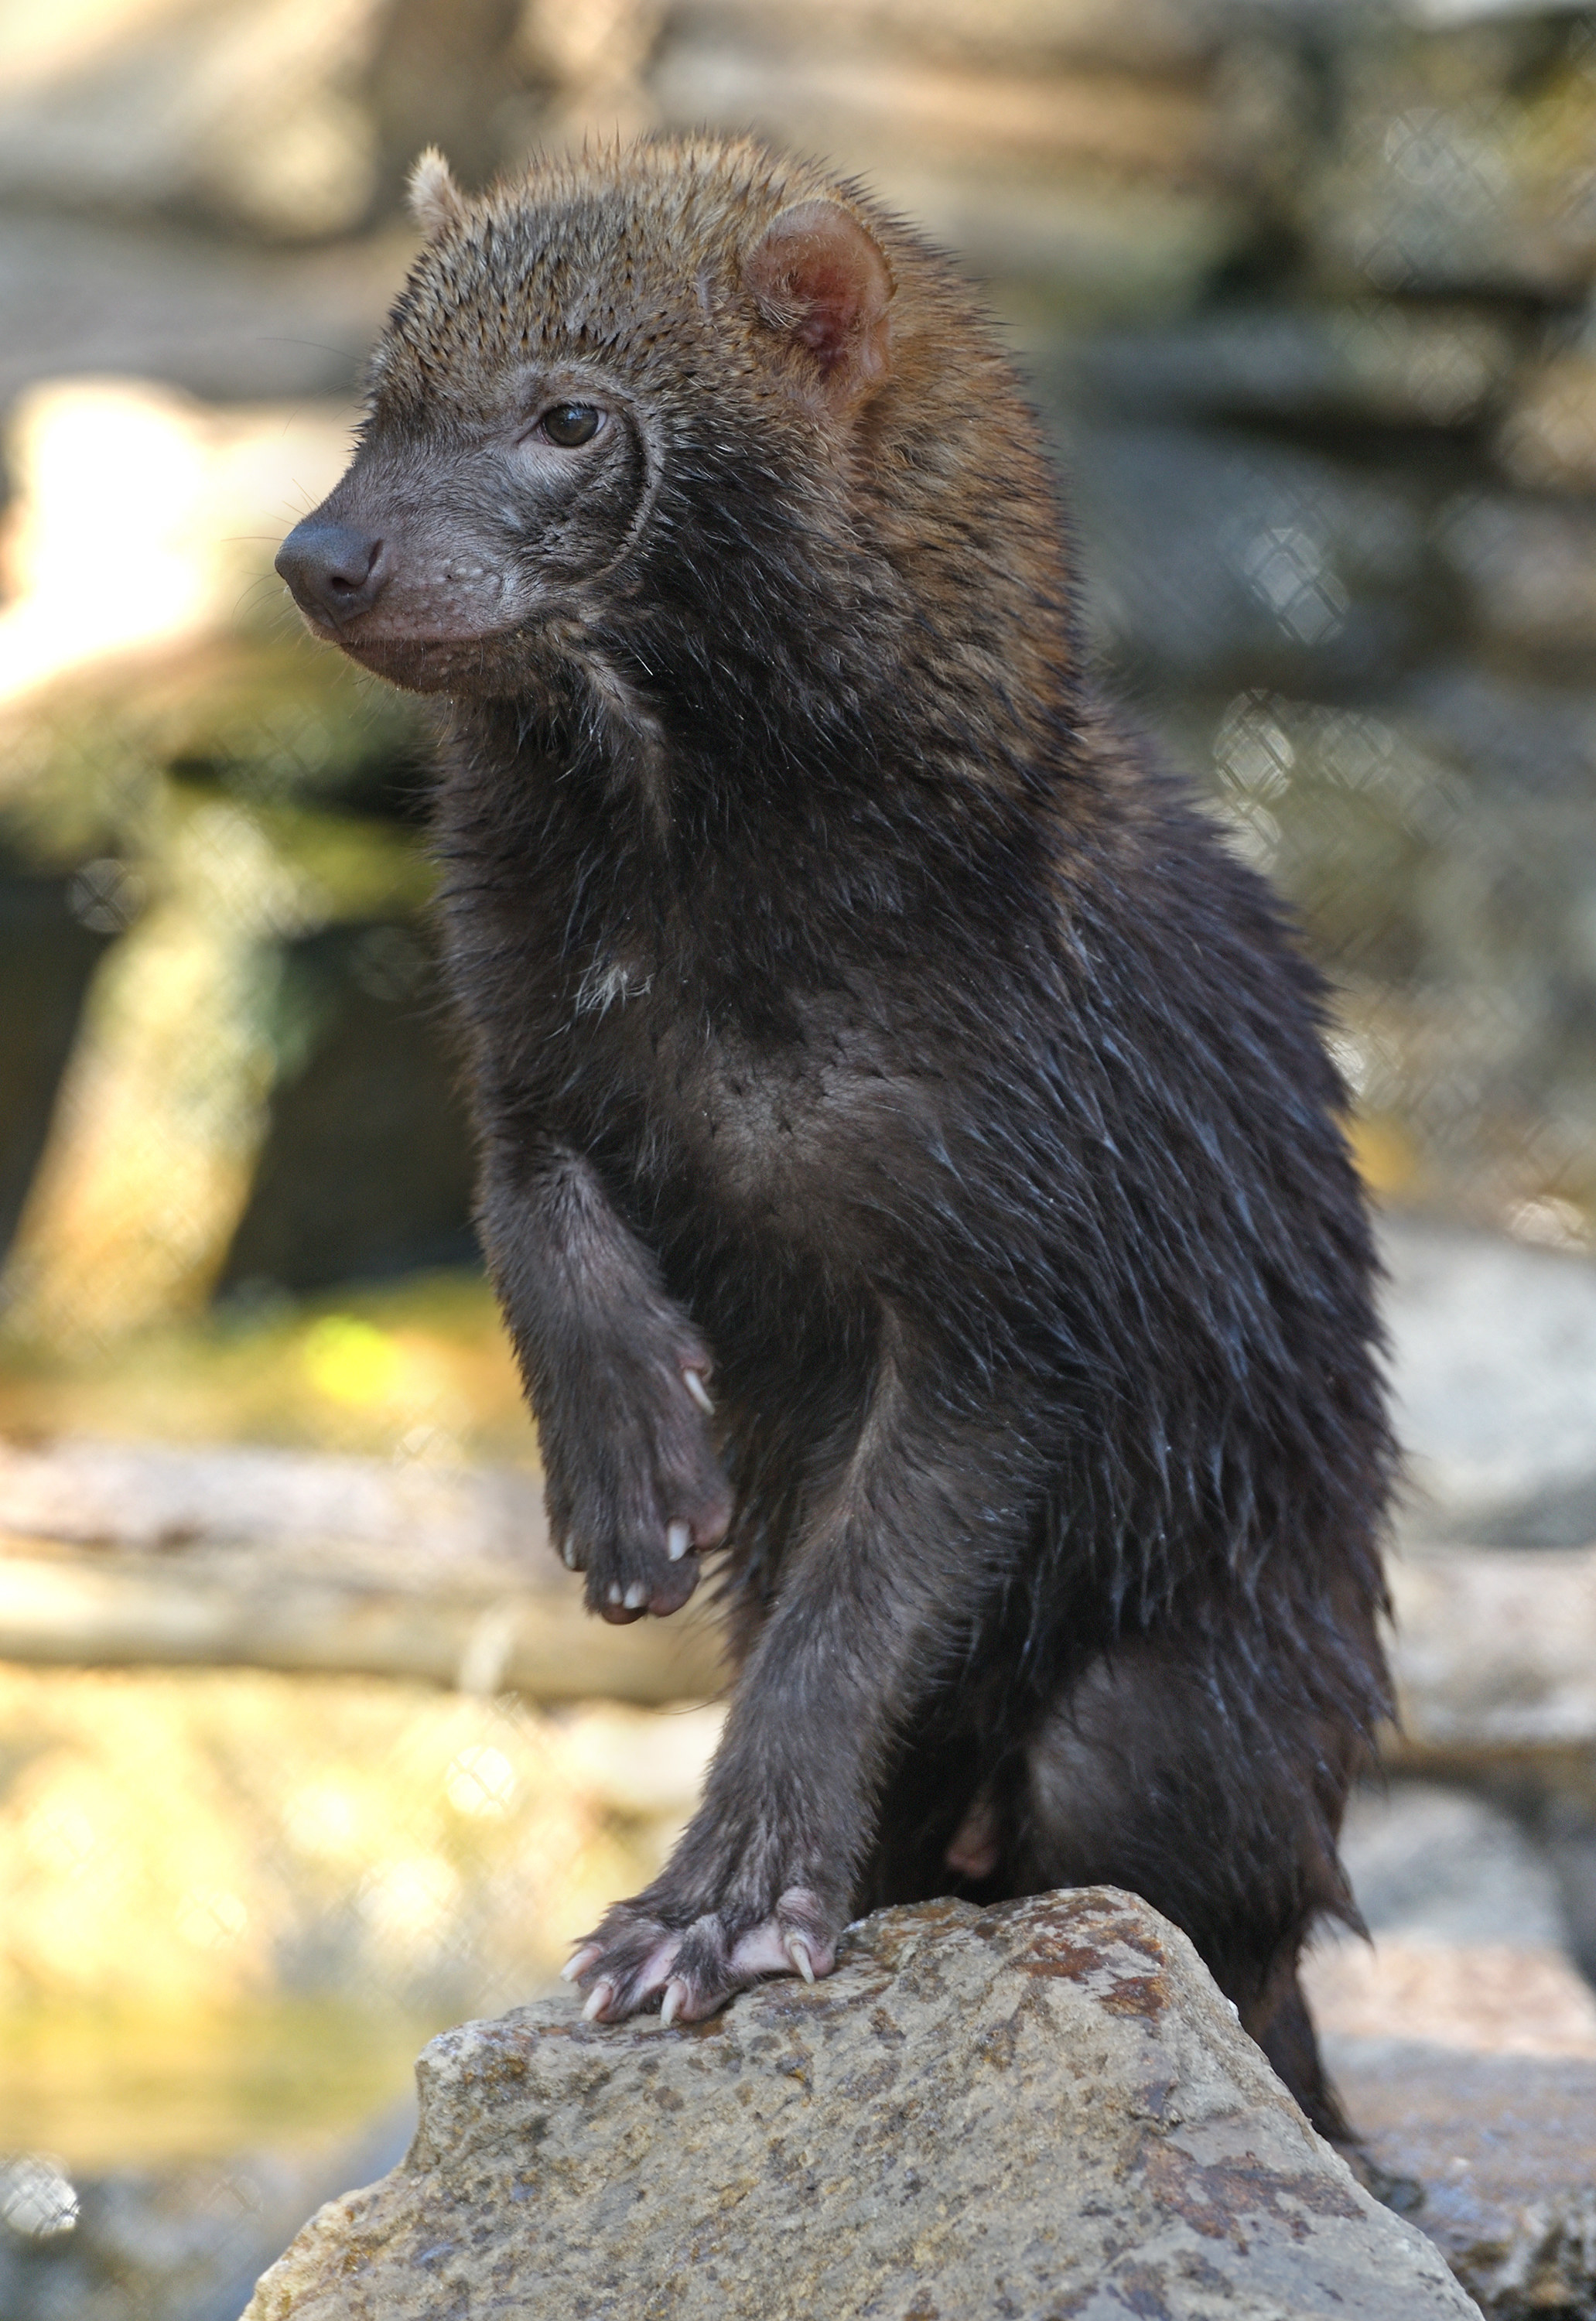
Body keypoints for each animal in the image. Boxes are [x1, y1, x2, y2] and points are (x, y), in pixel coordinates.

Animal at [280, 140, 1392, 2135]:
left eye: (570, 413)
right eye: (375, 397)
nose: (323, 553)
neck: (709, 979)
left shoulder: (1025, 1212)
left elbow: (862, 1602)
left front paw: (705, 1917)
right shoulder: (523, 1027)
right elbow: (524, 1213)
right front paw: (636, 1490)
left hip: (1204, 1691)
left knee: (1217, 1911)